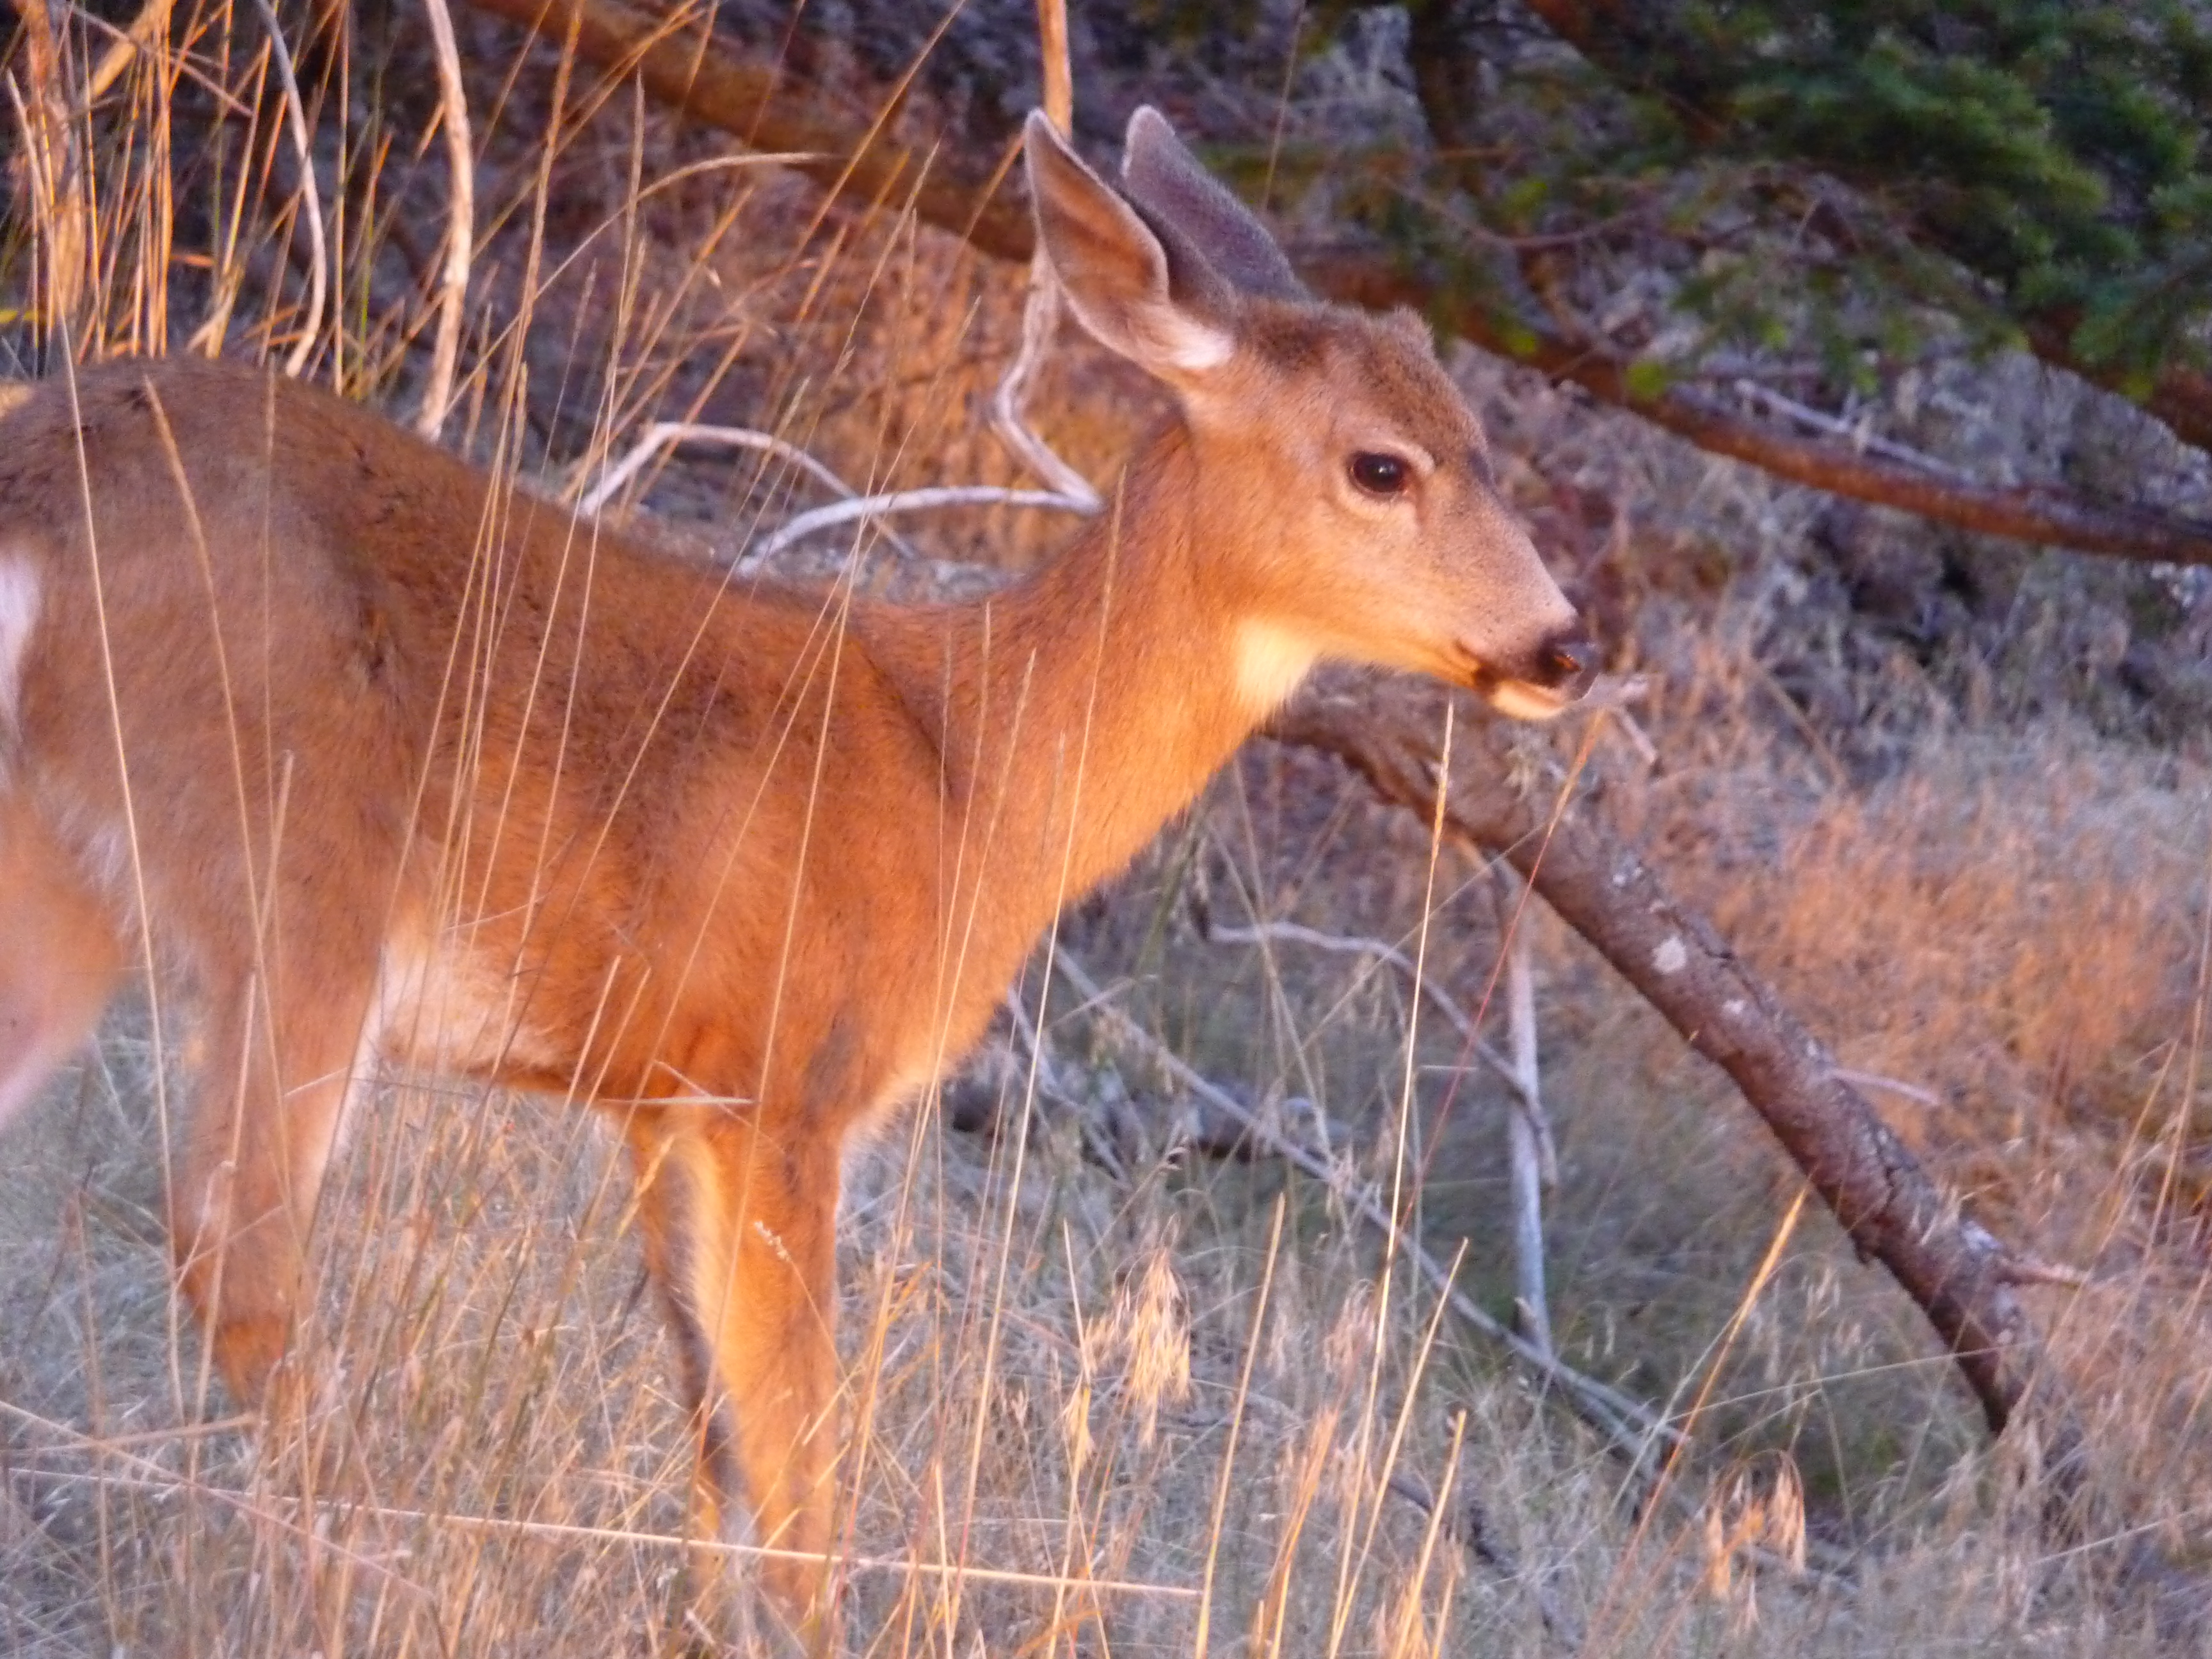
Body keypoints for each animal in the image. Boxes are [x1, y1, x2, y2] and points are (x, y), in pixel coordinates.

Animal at [0, 107, 1591, 1637]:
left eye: (1478, 441)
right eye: (1381, 464)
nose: (1564, 645)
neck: (973, 777)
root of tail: (43, 488)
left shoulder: (660, 1096)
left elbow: (713, 1438)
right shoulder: (791, 1081)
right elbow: (804, 1479)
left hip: (72, 886)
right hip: (295, 880)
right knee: (239, 1253)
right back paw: (363, 1582)